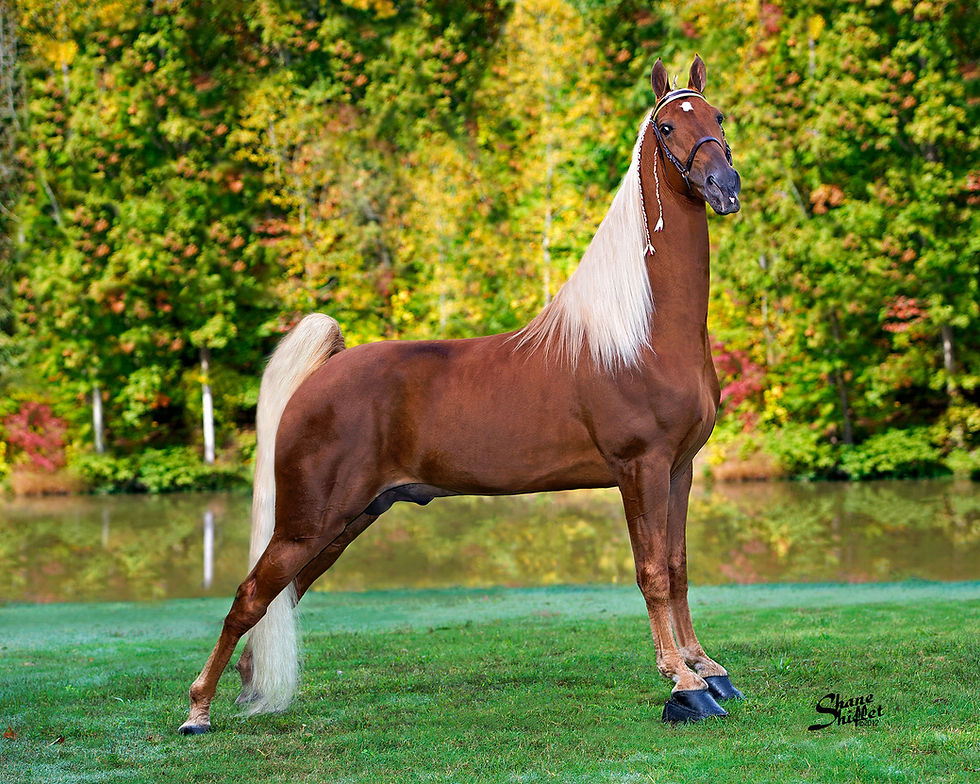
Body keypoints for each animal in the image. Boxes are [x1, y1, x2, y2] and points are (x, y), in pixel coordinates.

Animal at [178, 54, 743, 734]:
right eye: (665, 127)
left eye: (718, 116)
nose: (724, 185)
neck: (642, 331)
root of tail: (323, 373)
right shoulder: (641, 468)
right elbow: (654, 572)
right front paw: (683, 683)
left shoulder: (679, 468)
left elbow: (680, 568)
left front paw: (708, 670)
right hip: (308, 522)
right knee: (249, 597)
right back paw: (197, 711)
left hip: (346, 520)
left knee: (276, 598)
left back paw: (243, 689)